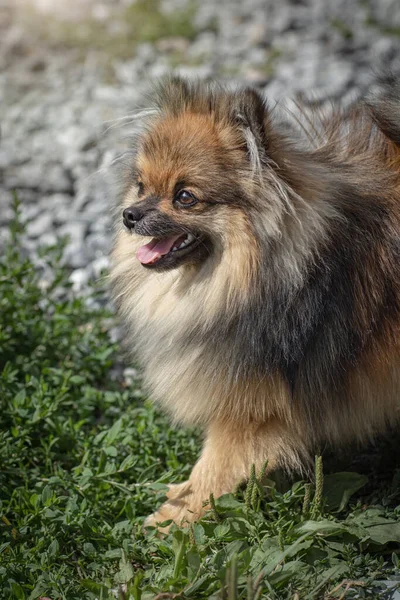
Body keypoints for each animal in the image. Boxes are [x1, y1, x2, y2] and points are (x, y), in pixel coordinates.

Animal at [110, 76, 400, 528]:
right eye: (141, 186)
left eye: (185, 197)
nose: (130, 215)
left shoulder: (252, 410)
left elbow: (213, 468)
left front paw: (176, 518)